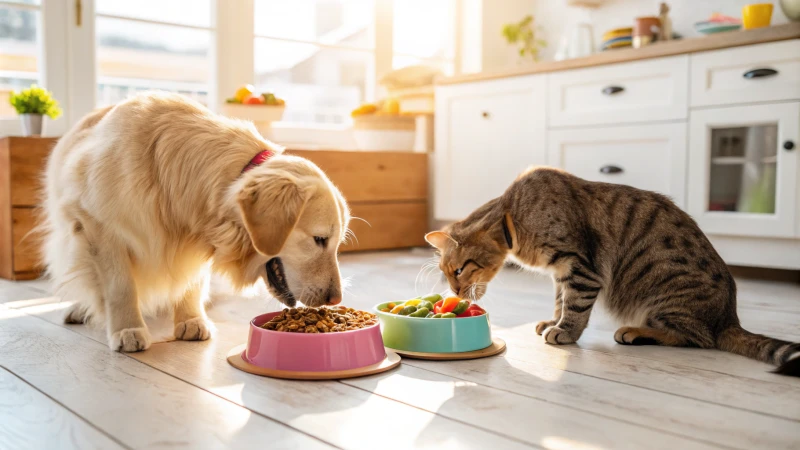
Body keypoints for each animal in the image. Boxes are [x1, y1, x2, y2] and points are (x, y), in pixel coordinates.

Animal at [42, 91, 350, 352]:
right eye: (319, 239)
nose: (335, 300)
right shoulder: (98, 224)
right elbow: (120, 286)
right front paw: (127, 328)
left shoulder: (197, 234)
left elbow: (191, 281)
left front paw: (191, 320)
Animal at [428, 166, 800, 376]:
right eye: (446, 273)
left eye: (458, 270)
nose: (455, 293)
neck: (514, 216)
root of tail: (730, 317)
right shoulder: (562, 272)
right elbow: (560, 301)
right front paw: (553, 321)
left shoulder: (580, 267)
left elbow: (575, 307)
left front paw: (564, 332)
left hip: (665, 295)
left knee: (699, 339)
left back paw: (634, 332)